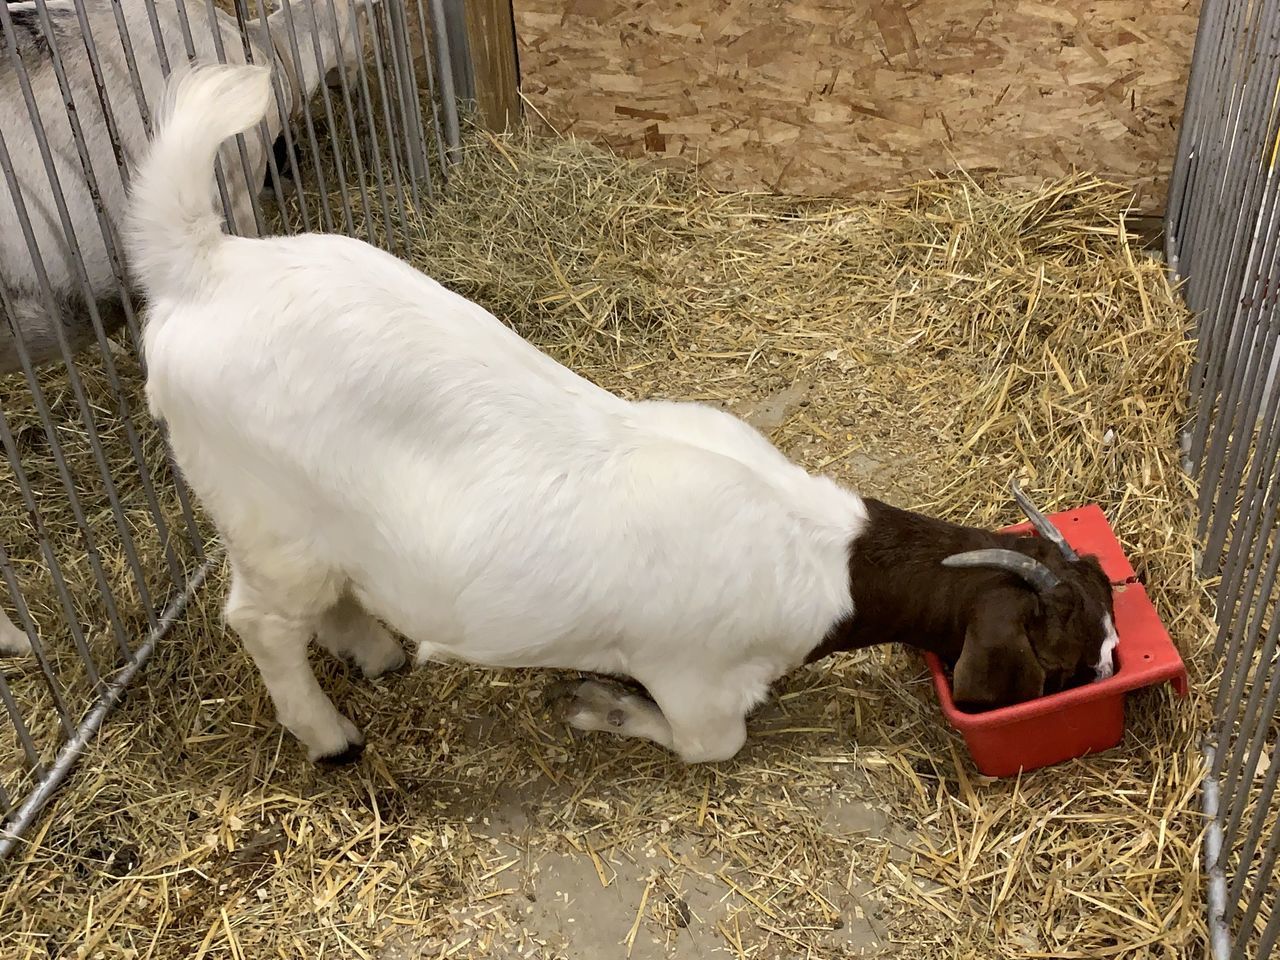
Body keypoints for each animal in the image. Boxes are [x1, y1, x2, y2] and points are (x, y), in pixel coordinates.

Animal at [122, 62, 1121, 768]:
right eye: (1065, 652)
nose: (1112, 670)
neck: (819, 550)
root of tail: (205, 268)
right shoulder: (701, 685)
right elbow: (709, 744)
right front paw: (597, 703)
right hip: (269, 524)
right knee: (261, 623)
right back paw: (331, 736)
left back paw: (377, 655)